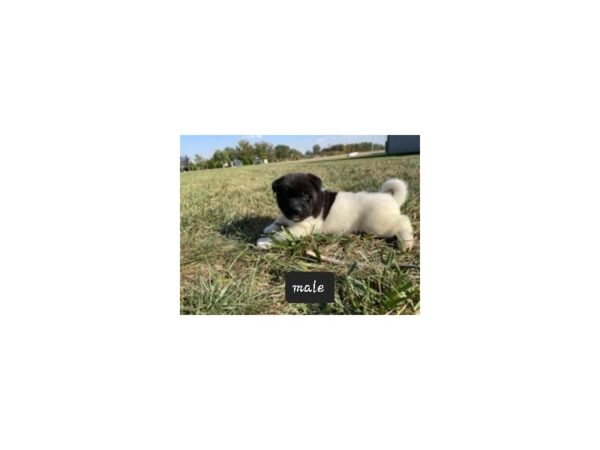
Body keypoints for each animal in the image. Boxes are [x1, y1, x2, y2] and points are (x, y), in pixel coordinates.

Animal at [255, 172, 414, 250]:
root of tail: (391, 198)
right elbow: (279, 219)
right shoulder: (287, 216)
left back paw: (406, 242)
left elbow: (281, 235)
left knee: (403, 221)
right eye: (285, 197)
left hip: (378, 225)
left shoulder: (300, 229)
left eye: (306, 196)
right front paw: (269, 227)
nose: (296, 211)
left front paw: (265, 241)